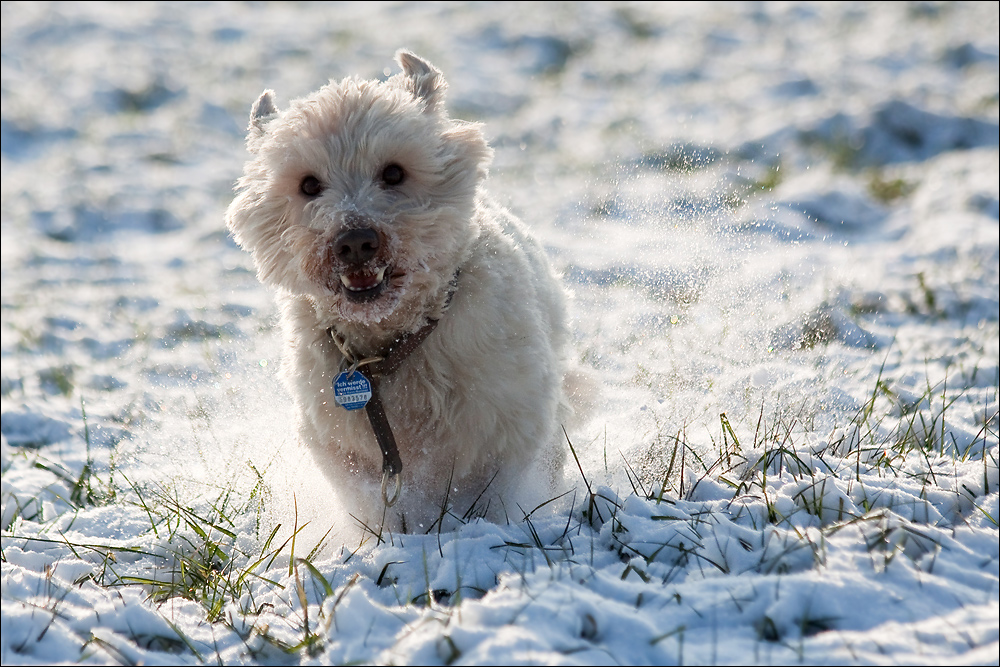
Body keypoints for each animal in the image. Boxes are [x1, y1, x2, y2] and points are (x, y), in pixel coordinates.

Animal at [227, 51, 572, 532]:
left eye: (394, 172)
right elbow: (372, 501)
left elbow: (492, 493)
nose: (355, 241)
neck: (389, 347)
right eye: (308, 184)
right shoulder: (339, 440)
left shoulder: (505, 420)